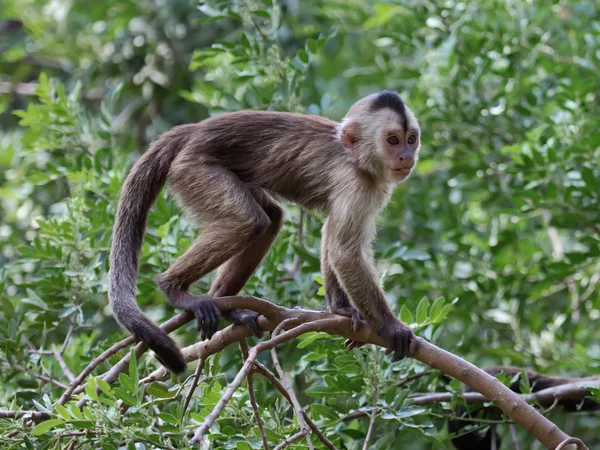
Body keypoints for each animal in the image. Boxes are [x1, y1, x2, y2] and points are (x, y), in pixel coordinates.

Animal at [108, 90, 420, 372]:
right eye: (392, 140)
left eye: (411, 139)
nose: (406, 156)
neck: (356, 158)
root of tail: (194, 130)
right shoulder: (357, 183)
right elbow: (345, 252)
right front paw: (390, 327)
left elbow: (332, 238)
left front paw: (340, 309)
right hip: (193, 170)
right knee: (248, 221)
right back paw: (174, 288)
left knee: (270, 219)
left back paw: (228, 307)